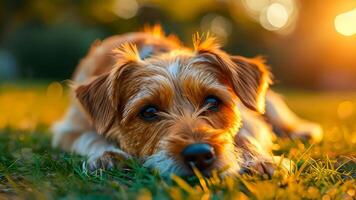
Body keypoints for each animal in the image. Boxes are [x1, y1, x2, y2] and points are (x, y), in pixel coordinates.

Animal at [52, 25, 322, 177]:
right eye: (148, 111)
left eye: (212, 101)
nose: (199, 154)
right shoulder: (70, 128)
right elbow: (90, 138)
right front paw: (107, 155)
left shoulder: (250, 120)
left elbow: (244, 135)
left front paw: (260, 160)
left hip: (270, 104)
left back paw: (301, 130)